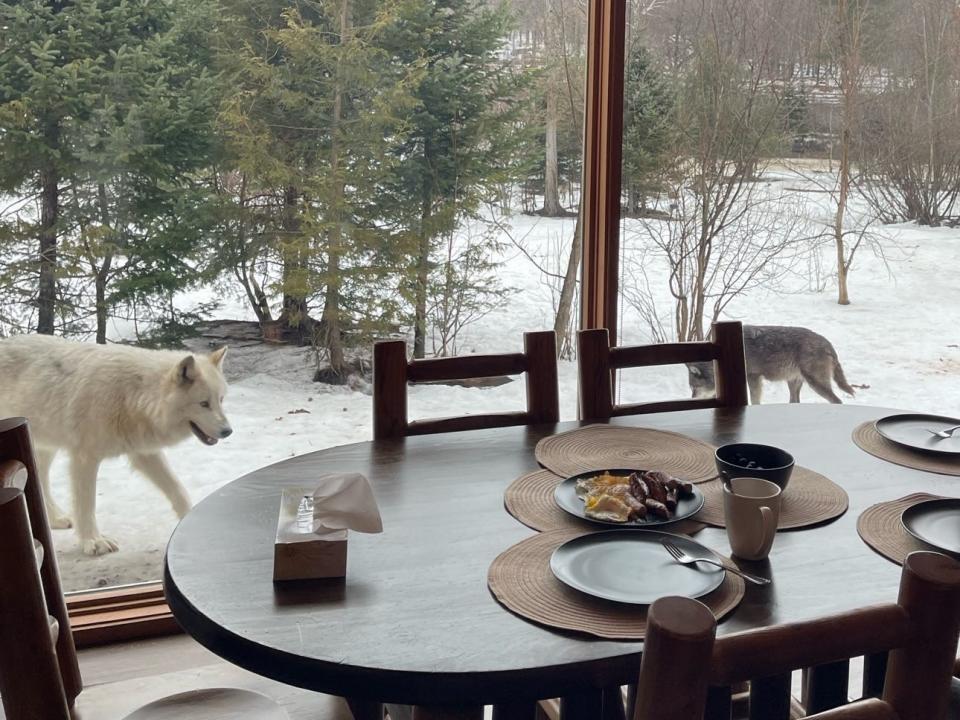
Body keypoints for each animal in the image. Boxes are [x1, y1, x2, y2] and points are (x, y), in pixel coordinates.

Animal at [0, 338, 232, 556]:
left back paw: (56, 519)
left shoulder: (144, 453)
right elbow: (86, 503)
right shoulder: (85, 458)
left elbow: (178, 490)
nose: (228, 431)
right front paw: (93, 541)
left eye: (221, 400)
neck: (131, 395)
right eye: (204, 404)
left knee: (41, 478)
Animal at [688, 326, 856, 404]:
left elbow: (755, 400)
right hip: (794, 383)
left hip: (816, 384)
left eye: (694, 387)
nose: (692, 398)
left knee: (837, 401)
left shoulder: (753, 377)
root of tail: (827, 343)